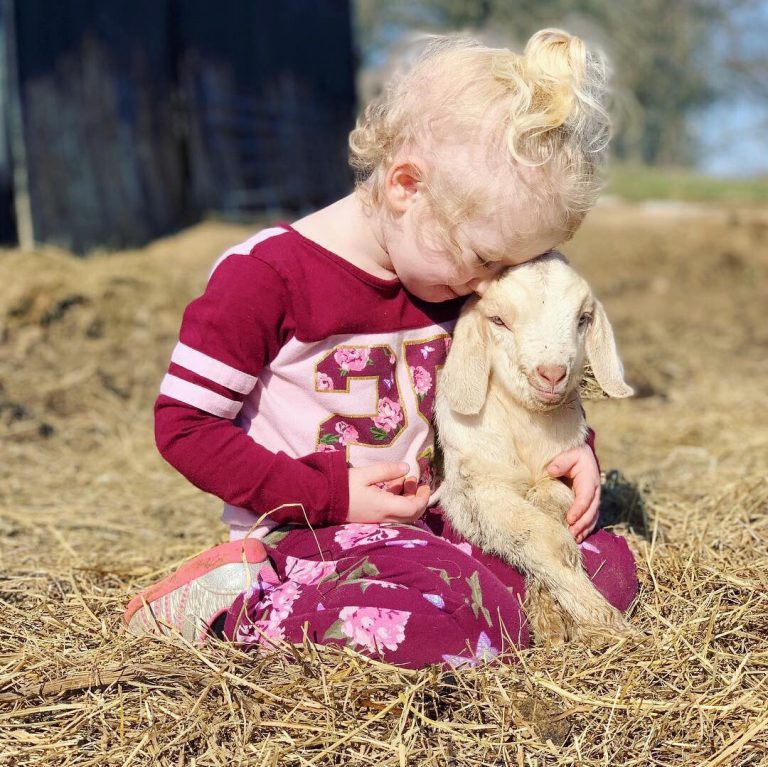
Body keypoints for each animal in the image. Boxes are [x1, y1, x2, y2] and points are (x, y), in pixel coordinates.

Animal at [435, 253, 634, 644]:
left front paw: (553, 611)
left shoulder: (558, 472)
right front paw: (601, 622)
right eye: (498, 320)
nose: (552, 374)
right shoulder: (476, 488)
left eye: (583, 319)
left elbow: (551, 523)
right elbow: (543, 540)